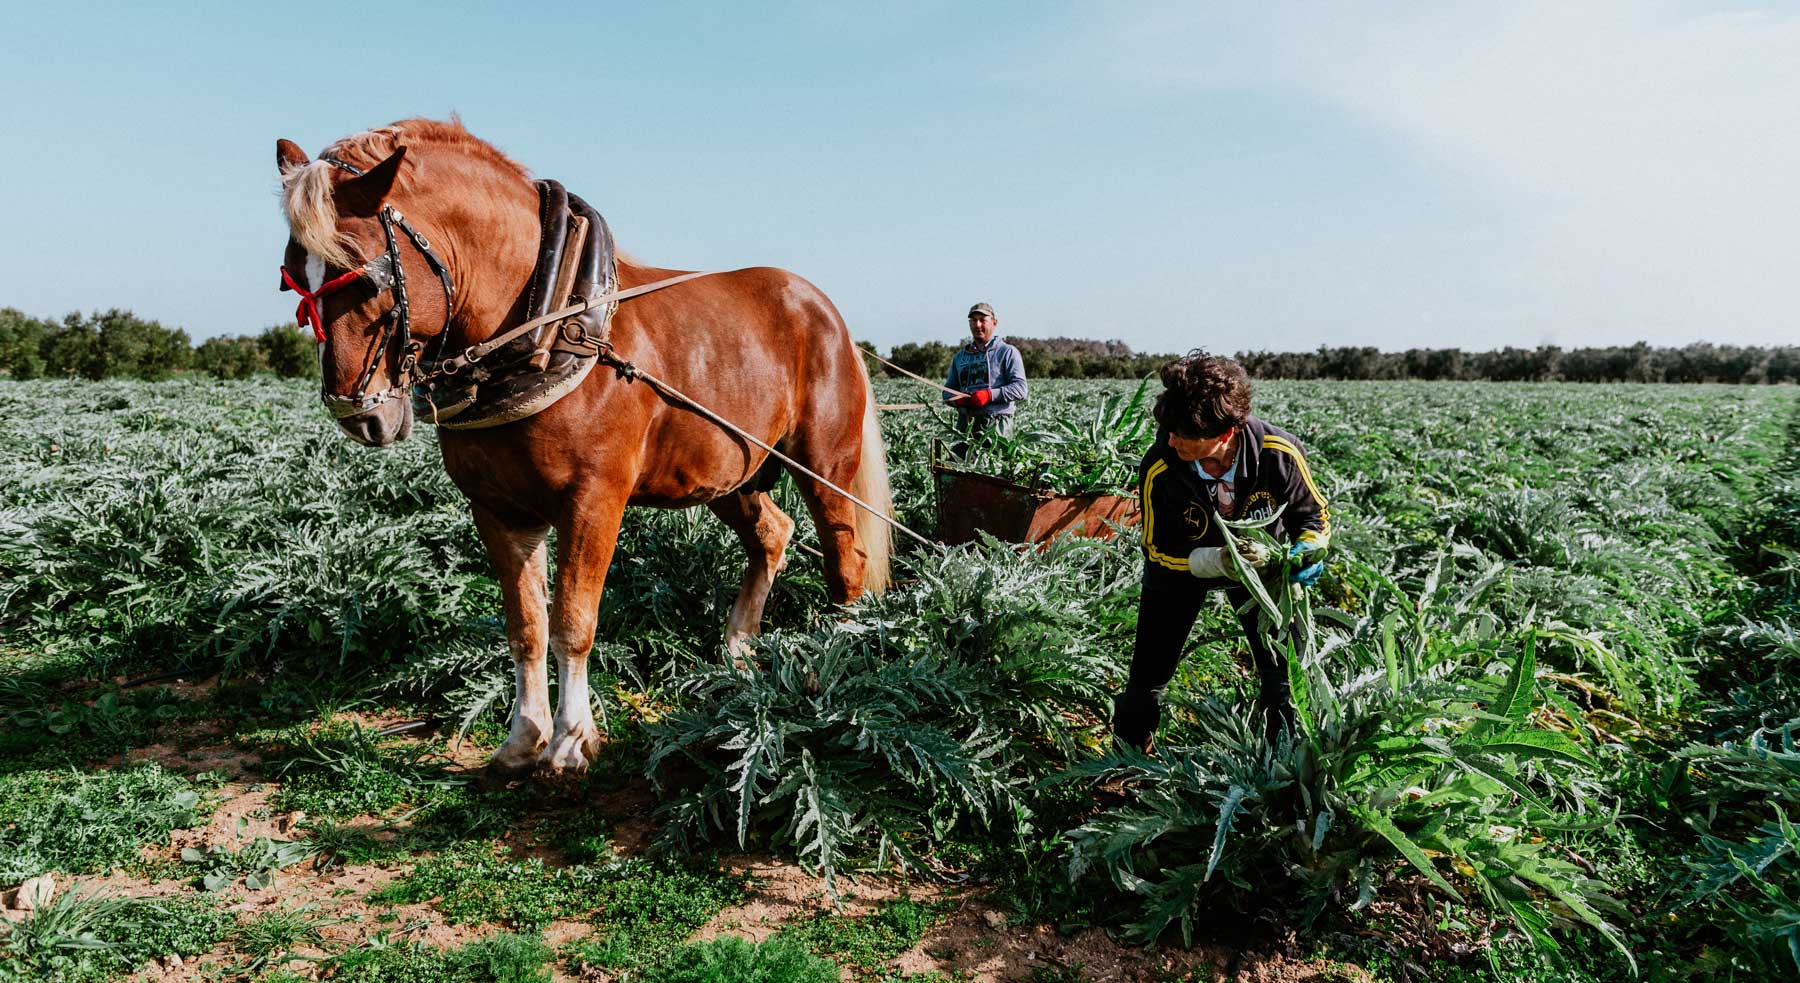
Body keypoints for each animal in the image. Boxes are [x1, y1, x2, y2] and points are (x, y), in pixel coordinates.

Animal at [273, 118, 892, 777]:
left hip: (824, 464)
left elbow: (573, 619)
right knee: (772, 534)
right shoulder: (498, 510)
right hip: (729, 472)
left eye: (366, 277)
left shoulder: (594, 500)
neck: (544, 326)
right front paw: (523, 738)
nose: (359, 415)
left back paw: (843, 658)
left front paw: (572, 741)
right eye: (293, 279)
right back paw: (739, 649)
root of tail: (826, 312)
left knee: (846, 556)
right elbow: (526, 625)